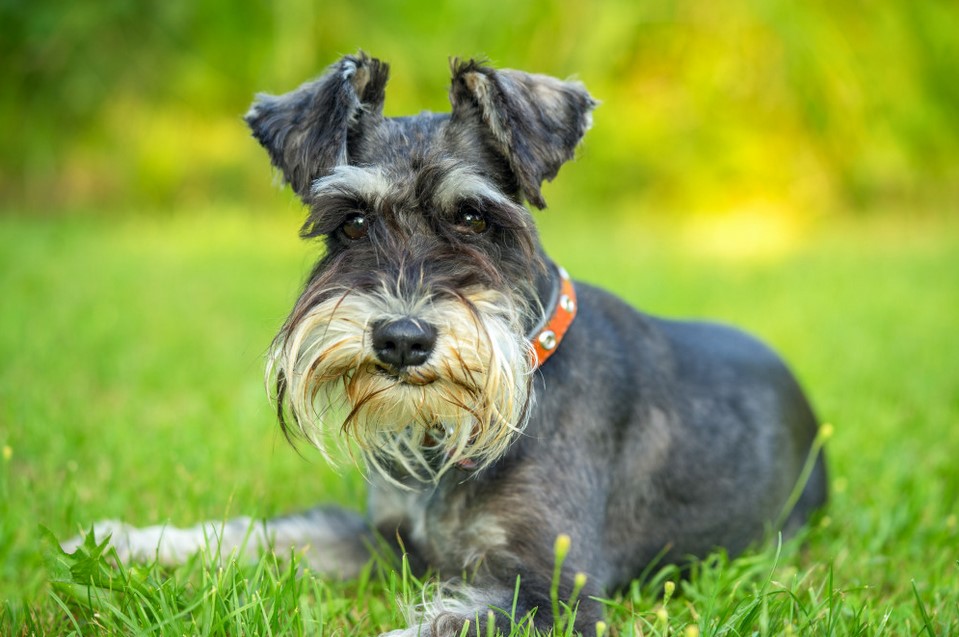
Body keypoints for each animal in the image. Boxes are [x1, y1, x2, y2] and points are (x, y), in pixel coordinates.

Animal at [62, 53, 824, 636]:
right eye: (352, 221)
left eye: (474, 218)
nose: (401, 339)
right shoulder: (385, 541)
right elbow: (266, 532)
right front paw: (125, 541)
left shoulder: (552, 593)